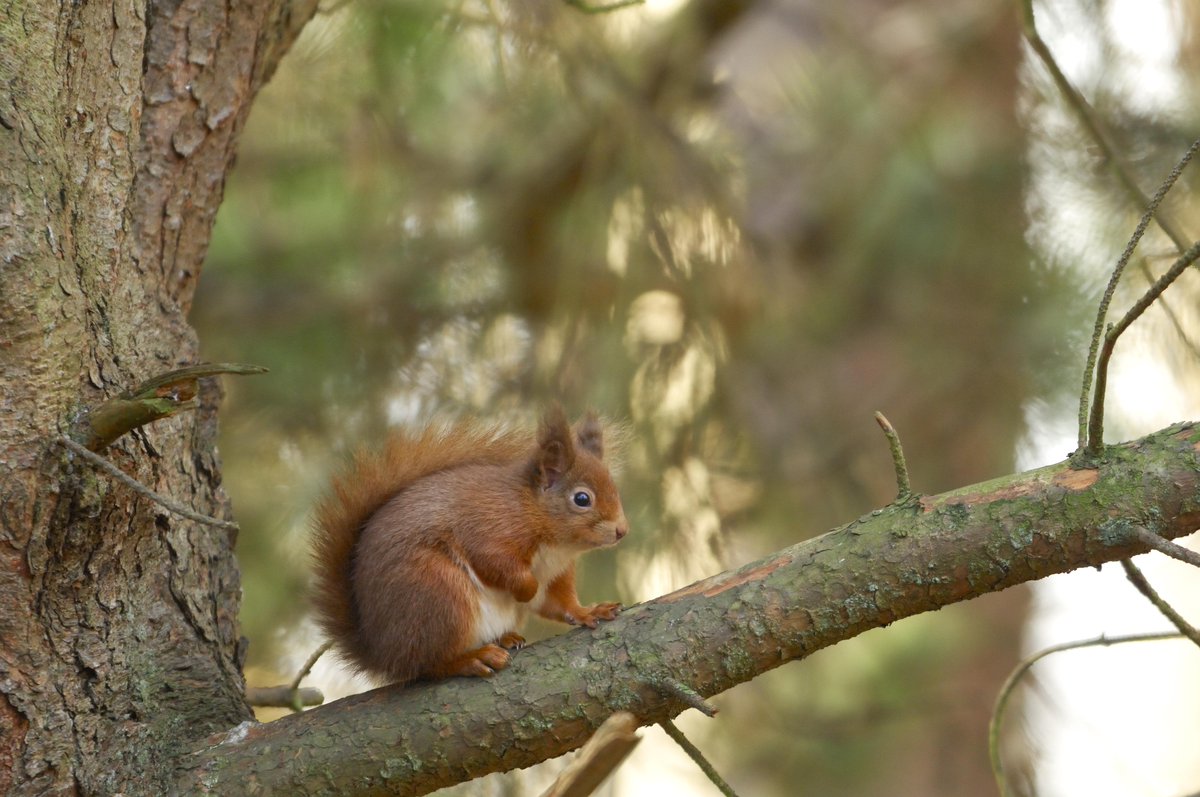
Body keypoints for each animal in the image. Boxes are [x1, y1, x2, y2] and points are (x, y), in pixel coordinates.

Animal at [310, 406, 629, 686]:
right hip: (437, 593)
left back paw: (504, 639)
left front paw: (588, 611)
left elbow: (560, 604)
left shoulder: (555, 574)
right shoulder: (489, 529)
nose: (622, 530)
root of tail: (383, 653)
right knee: (428, 664)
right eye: (582, 499)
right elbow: (497, 564)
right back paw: (473, 659)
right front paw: (526, 589)